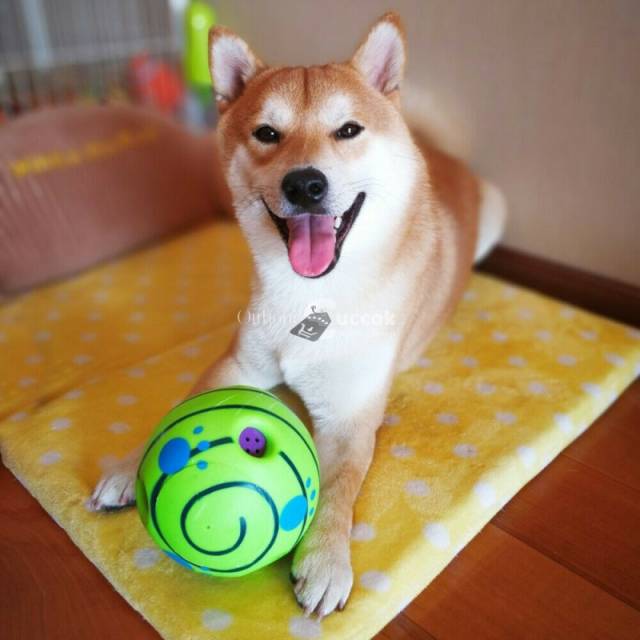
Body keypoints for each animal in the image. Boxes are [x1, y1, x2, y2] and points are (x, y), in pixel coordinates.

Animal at [90, 12, 506, 618]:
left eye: (348, 130)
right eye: (267, 134)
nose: (305, 183)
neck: (314, 299)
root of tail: (443, 153)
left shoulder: (351, 416)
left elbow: (339, 489)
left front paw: (326, 558)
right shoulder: (238, 366)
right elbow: (180, 406)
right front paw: (127, 466)